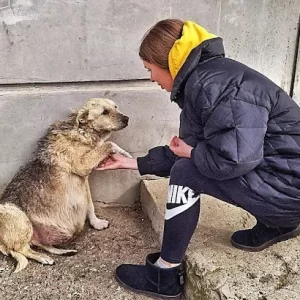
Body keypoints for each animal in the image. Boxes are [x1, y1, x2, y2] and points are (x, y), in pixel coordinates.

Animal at [0, 98, 131, 272]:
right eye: (104, 112)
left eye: (116, 107)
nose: (127, 118)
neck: (82, 131)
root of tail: (2, 243)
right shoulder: (82, 165)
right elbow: (109, 144)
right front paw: (124, 153)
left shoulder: (84, 179)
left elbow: (90, 205)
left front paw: (96, 222)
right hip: (18, 216)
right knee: (20, 250)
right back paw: (43, 258)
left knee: (37, 245)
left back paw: (63, 251)